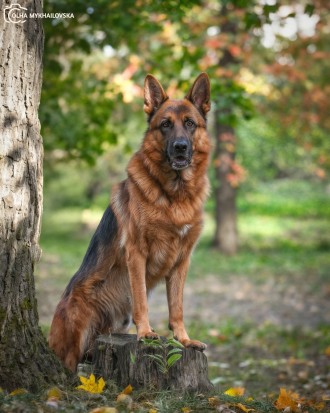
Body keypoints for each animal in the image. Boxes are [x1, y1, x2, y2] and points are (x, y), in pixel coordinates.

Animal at [49, 73, 211, 370]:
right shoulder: (137, 253)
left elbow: (177, 307)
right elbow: (141, 300)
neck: (175, 195)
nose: (180, 148)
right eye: (165, 125)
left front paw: (184, 340)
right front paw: (146, 333)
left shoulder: (182, 260)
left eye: (190, 124)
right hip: (77, 324)